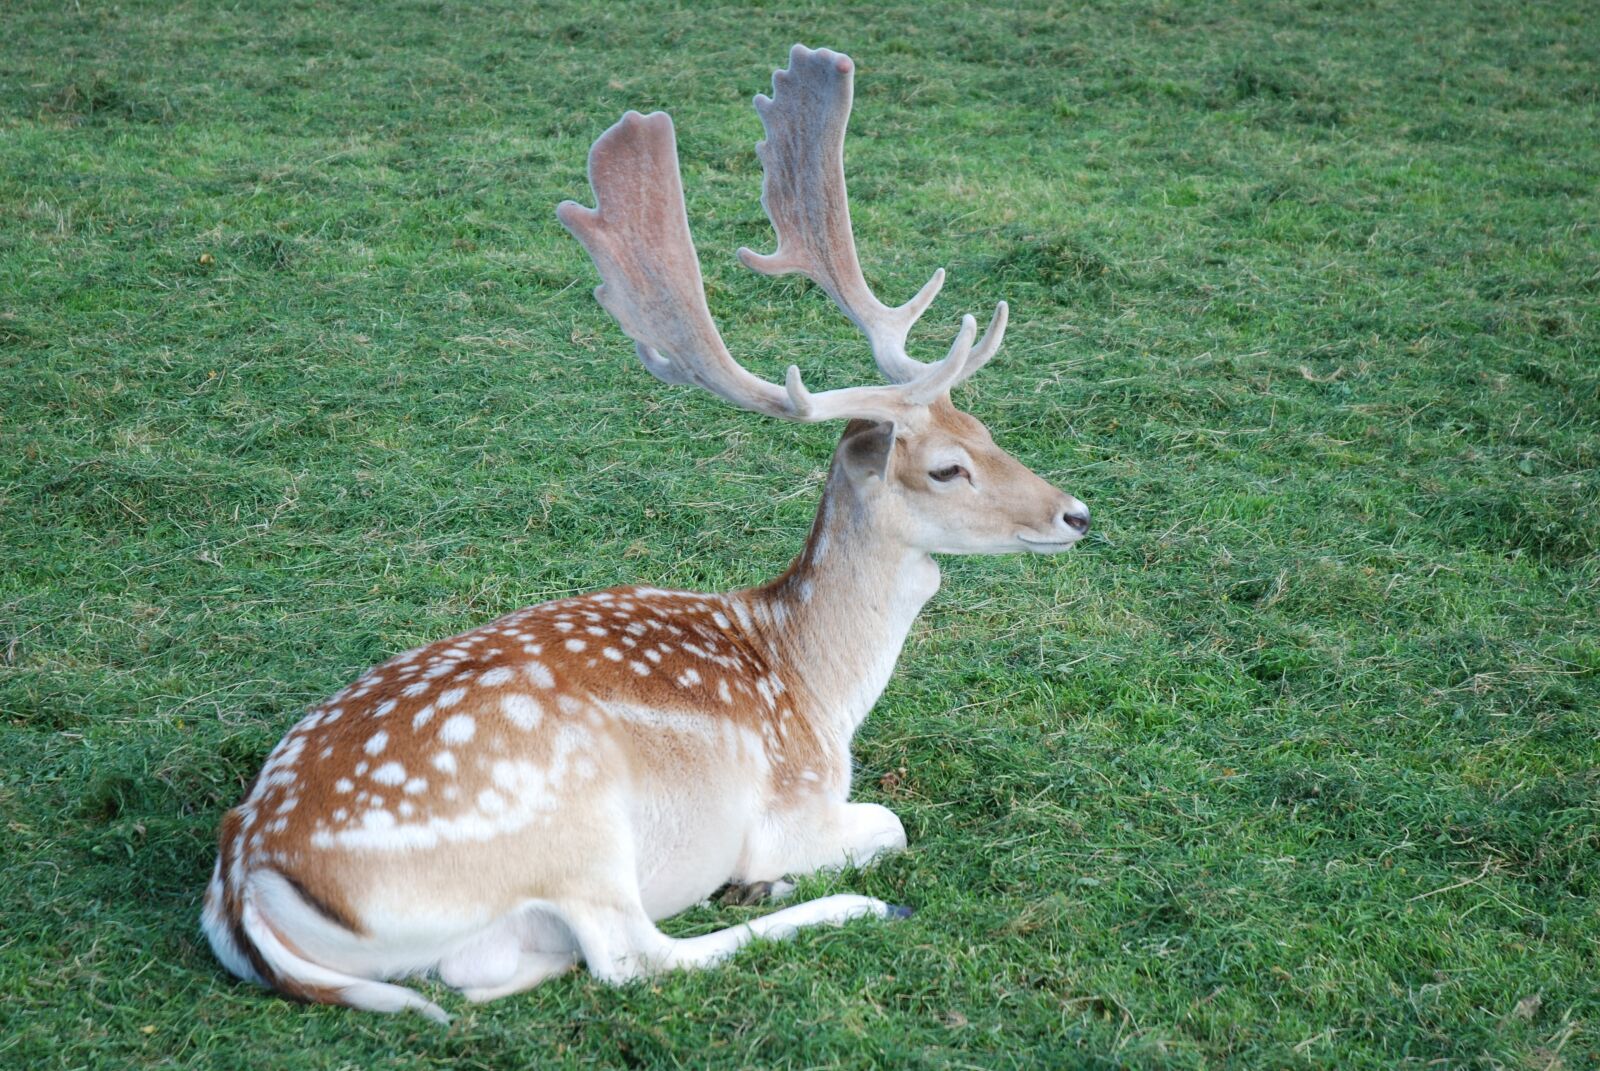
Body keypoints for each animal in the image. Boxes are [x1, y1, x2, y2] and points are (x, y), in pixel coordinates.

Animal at [201, 44, 1090, 1022]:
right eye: (946, 468)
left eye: (986, 429)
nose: (1075, 513)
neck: (818, 690)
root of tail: (242, 883)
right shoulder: (796, 804)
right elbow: (888, 823)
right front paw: (771, 876)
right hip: (576, 824)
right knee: (633, 955)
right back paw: (833, 902)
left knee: (485, 976)